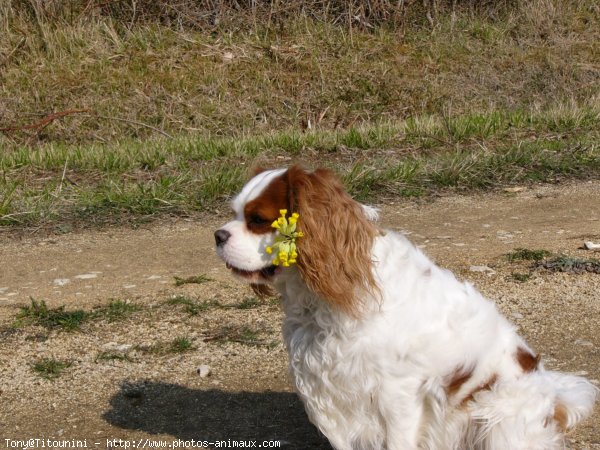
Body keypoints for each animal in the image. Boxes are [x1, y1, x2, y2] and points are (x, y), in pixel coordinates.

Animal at [214, 166, 596, 450]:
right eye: (234, 213)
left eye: (258, 219)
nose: (217, 235)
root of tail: (555, 401)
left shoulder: (395, 395)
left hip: (498, 414)